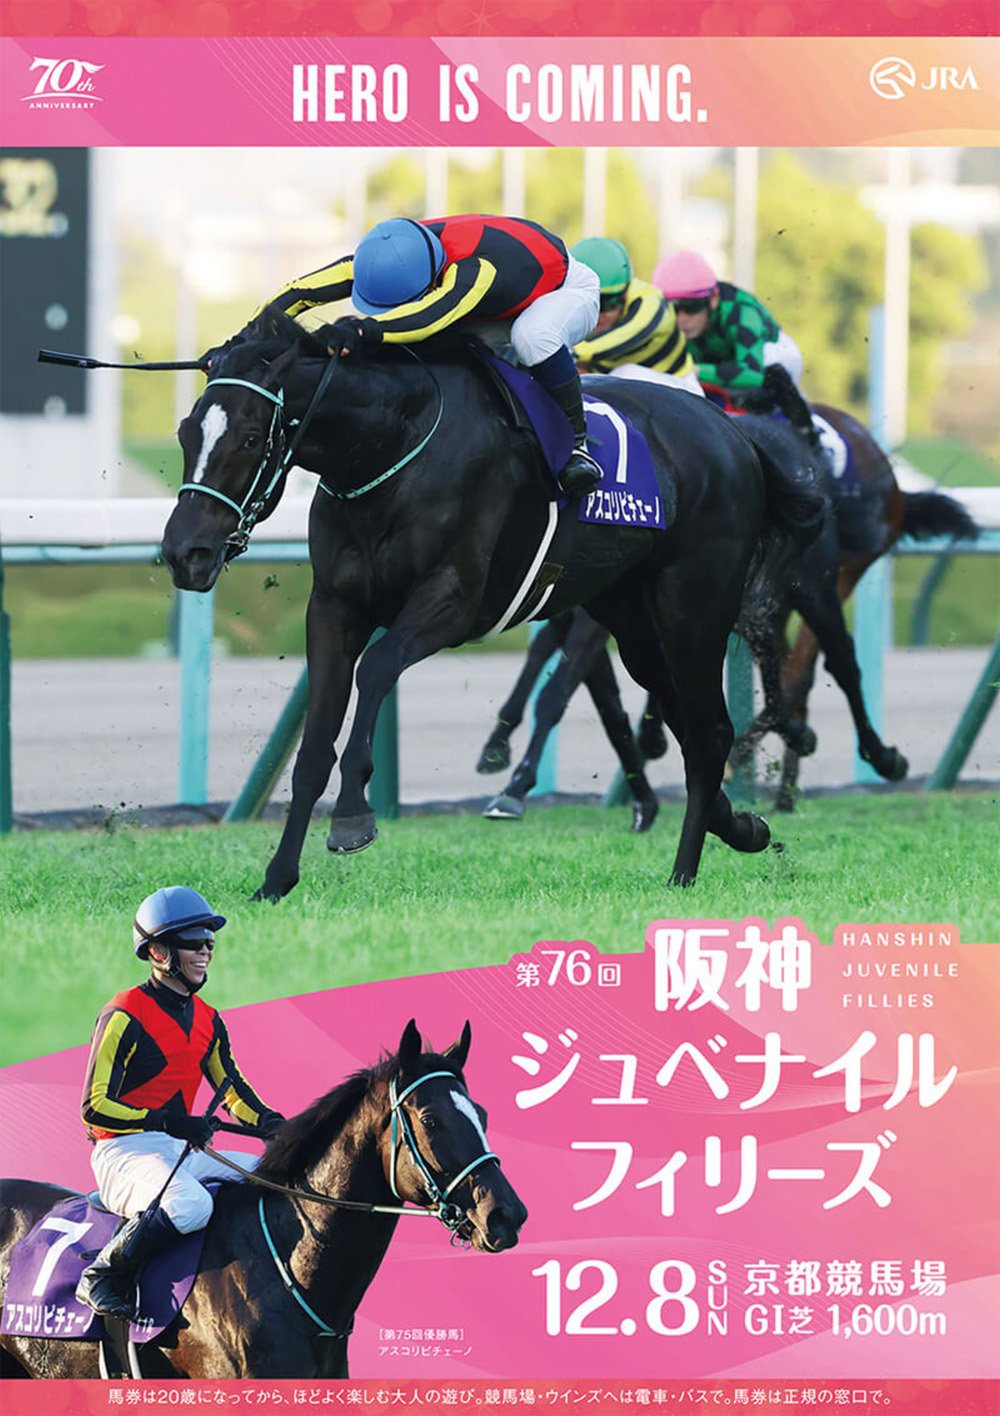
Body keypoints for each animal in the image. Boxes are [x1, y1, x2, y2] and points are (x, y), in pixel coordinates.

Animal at [160, 310, 824, 898]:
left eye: (251, 438)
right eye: (186, 432)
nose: (185, 551)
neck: (392, 445)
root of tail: (735, 433)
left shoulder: (453, 602)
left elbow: (377, 669)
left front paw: (352, 814)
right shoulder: (333, 608)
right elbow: (315, 743)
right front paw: (275, 880)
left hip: (693, 610)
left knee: (710, 729)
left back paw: (684, 873)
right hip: (634, 622)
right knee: (691, 727)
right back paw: (740, 826)